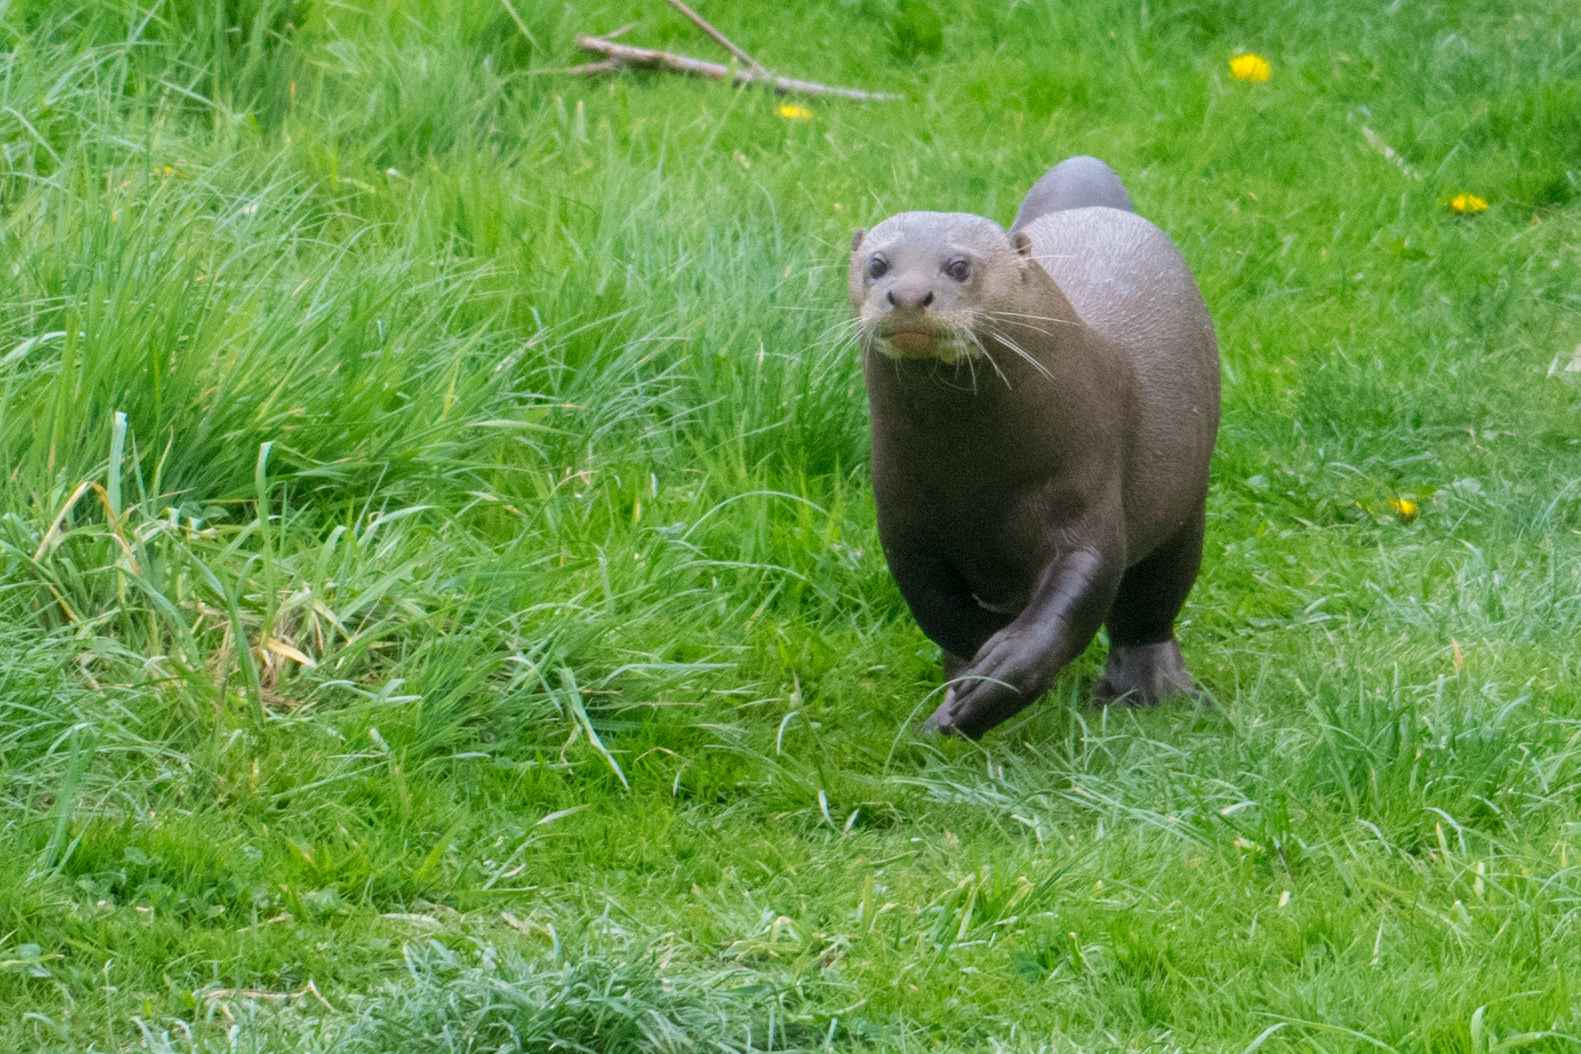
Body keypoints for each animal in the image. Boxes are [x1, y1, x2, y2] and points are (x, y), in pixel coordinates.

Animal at [849, 156, 1219, 739]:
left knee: (1151, 605)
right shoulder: (903, 523)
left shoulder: (1084, 486)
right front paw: (961, 693)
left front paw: (1002, 673)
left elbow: (1079, 588)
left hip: (1186, 505)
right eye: (879, 264)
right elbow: (940, 613)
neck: (975, 478)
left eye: (958, 265)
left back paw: (1148, 691)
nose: (907, 296)